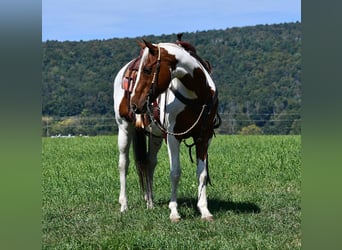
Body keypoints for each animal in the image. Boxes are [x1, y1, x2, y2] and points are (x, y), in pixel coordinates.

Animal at [113, 40, 220, 222]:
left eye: (147, 69)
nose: (135, 104)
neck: (196, 94)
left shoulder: (204, 137)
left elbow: (202, 174)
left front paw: (204, 210)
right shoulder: (172, 137)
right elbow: (175, 173)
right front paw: (174, 212)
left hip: (155, 135)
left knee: (149, 163)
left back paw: (150, 203)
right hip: (124, 128)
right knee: (123, 164)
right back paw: (124, 205)